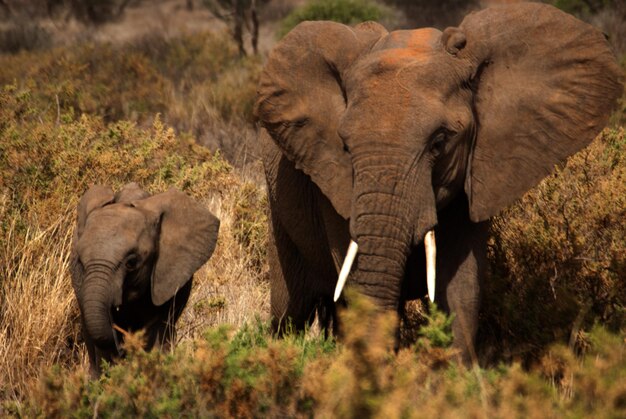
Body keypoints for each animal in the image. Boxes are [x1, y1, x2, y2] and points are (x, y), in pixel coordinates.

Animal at [252, 1, 620, 362]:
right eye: (345, 145)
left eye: (440, 142)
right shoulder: (333, 184)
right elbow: (353, 272)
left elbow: (461, 287)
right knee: (289, 311)